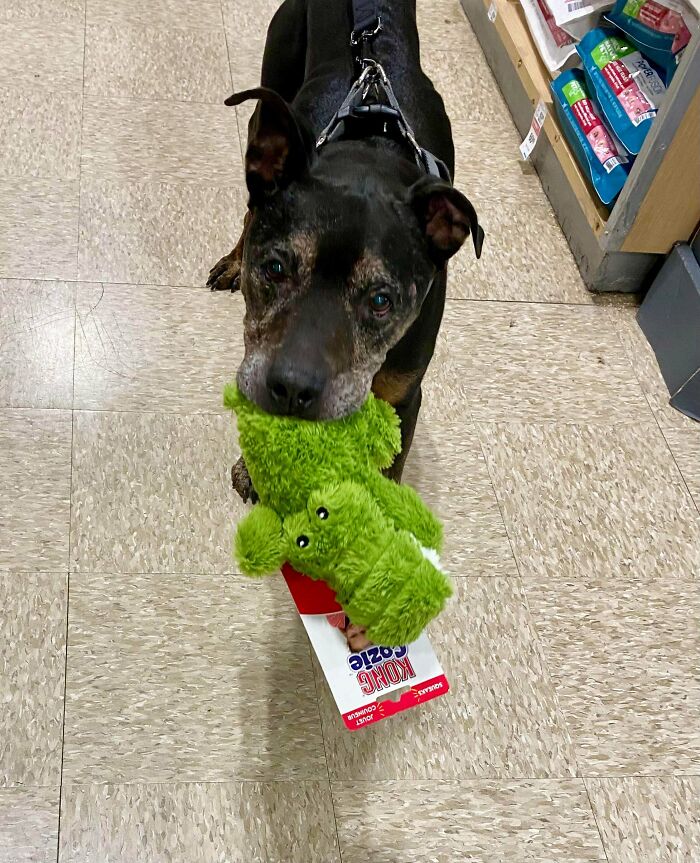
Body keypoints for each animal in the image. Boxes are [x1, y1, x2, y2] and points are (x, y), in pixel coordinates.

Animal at [209, 0, 482, 644]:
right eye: (275, 267)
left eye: (381, 301)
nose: (292, 389)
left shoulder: (403, 396)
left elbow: (389, 474)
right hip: (269, 91)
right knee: (252, 199)